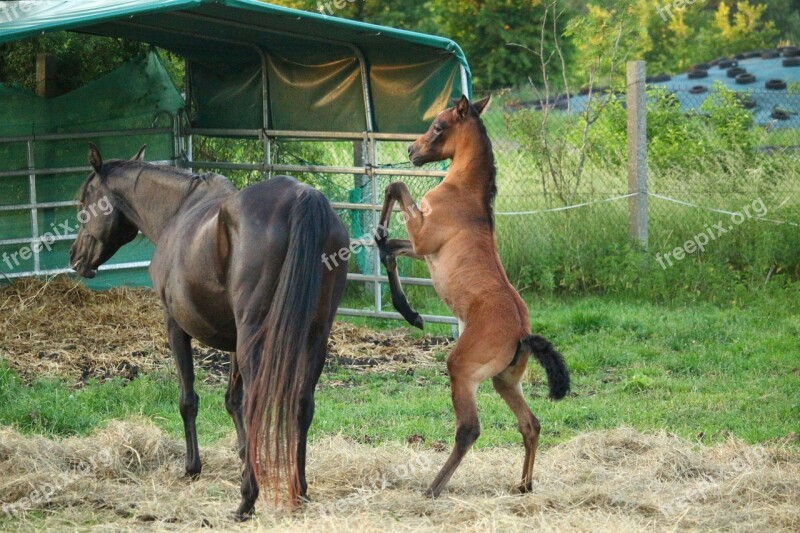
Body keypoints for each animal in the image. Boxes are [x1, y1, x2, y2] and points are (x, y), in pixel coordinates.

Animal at [66, 143, 346, 516]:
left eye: (85, 202)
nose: (75, 257)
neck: (177, 211)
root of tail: (303, 196)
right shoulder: (237, 340)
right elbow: (232, 401)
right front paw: (243, 460)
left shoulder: (175, 326)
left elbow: (189, 399)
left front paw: (193, 468)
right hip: (315, 338)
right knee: (302, 403)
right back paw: (298, 492)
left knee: (258, 404)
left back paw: (247, 500)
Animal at [376, 94, 568, 494]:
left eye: (438, 126)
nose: (411, 150)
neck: (463, 192)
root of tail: (522, 333)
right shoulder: (422, 250)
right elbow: (390, 251)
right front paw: (409, 312)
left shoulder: (423, 238)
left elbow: (396, 187)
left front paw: (379, 231)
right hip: (504, 381)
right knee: (531, 424)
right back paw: (523, 485)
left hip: (463, 372)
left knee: (469, 430)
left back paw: (433, 488)